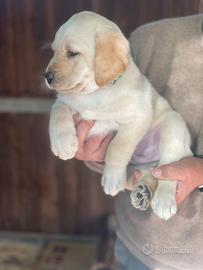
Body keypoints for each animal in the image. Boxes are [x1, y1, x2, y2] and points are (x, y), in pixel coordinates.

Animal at [45, 11, 193, 220]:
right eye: (54, 51)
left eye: (72, 53)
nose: (47, 77)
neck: (95, 93)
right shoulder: (64, 101)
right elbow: (57, 113)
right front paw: (63, 144)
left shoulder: (138, 117)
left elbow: (117, 147)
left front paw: (112, 178)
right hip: (140, 168)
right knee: (149, 175)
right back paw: (143, 192)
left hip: (172, 127)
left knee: (167, 172)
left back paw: (163, 201)